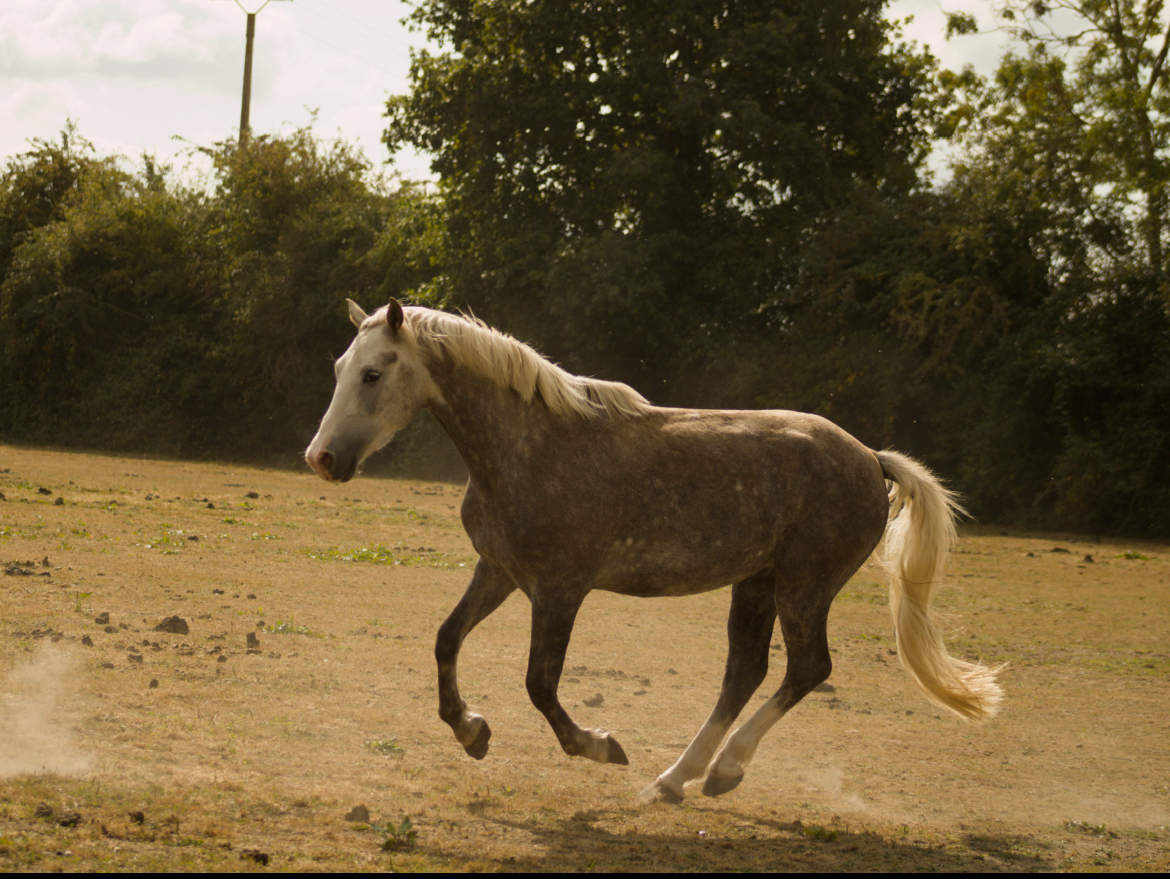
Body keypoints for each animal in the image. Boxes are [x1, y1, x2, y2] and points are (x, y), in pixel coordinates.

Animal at [306, 298, 1003, 803]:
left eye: (373, 373)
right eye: (338, 369)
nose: (322, 458)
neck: (530, 447)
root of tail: (870, 458)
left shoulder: (560, 588)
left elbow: (540, 683)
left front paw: (597, 744)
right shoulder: (499, 571)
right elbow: (447, 640)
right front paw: (471, 730)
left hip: (804, 587)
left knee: (807, 670)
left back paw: (722, 772)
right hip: (757, 582)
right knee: (744, 673)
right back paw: (674, 780)